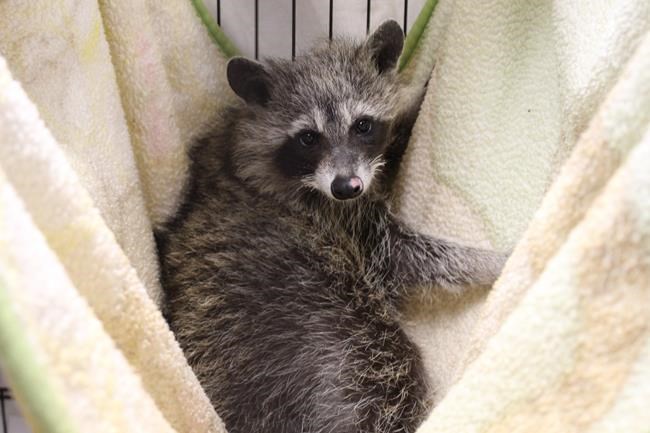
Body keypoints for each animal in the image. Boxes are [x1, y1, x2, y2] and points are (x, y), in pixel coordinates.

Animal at [158, 20, 506, 433]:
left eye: (363, 126)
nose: (346, 186)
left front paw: (416, 100)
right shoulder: (341, 223)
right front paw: (488, 262)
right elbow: (411, 257)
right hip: (334, 341)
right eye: (308, 137)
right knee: (390, 374)